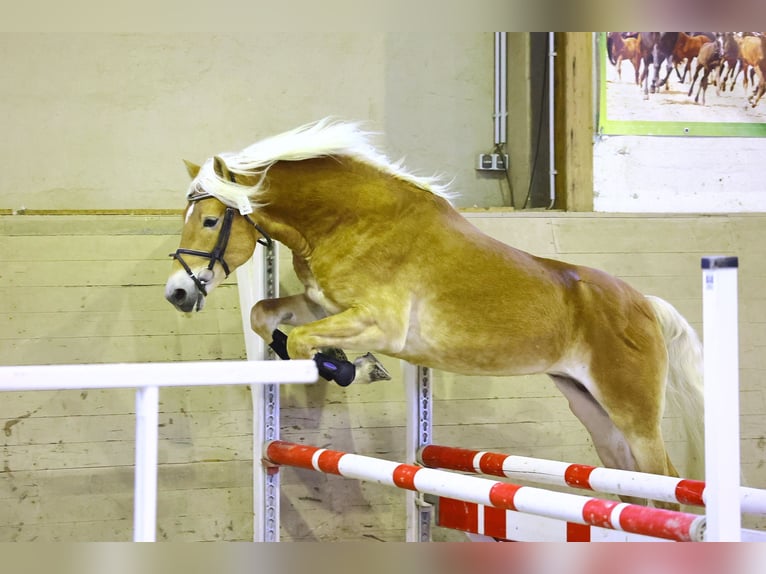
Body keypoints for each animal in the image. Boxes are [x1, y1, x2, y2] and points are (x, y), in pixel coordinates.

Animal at [166, 119, 708, 510]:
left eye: (210, 220)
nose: (177, 293)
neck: (348, 219)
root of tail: (645, 304)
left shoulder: (378, 323)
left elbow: (304, 343)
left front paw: (350, 367)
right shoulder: (324, 304)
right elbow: (265, 316)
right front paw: (337, 360)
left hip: (633, 412)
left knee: (665, 483)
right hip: (591, 406)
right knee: (630, 481)